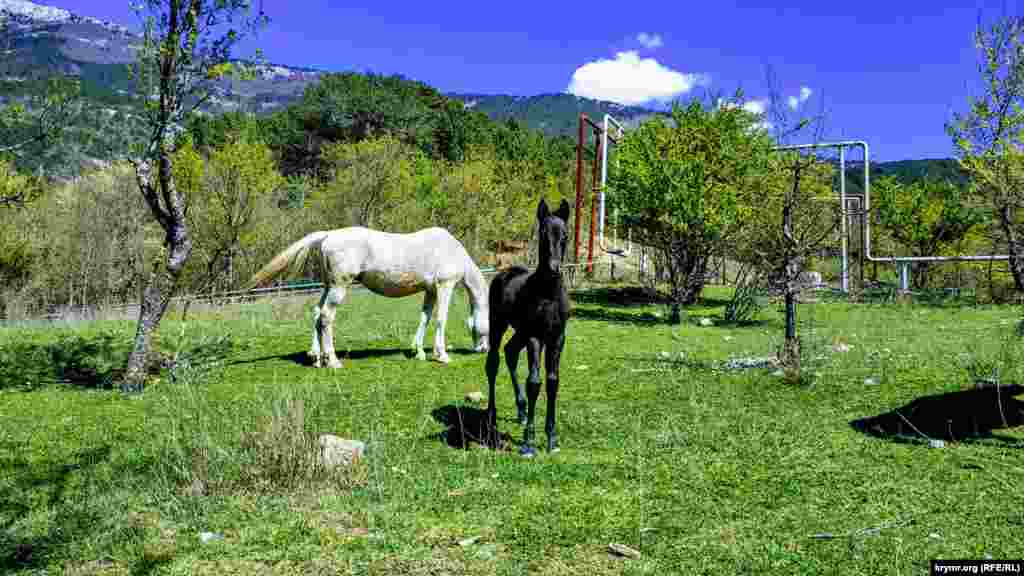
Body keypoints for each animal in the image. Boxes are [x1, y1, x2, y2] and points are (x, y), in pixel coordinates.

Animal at [246, 225, 487, 364]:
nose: (483, 349)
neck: (451, 250)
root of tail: (328, 235)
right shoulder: (445, 285)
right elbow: (440, 319)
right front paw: (442, 355)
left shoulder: (430, 290)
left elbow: (425, 319)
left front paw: (419, 352)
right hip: (339, 287)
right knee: (326, 317)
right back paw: (332, 361)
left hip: (328, 286)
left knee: (317, 313)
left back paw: (316, 358)